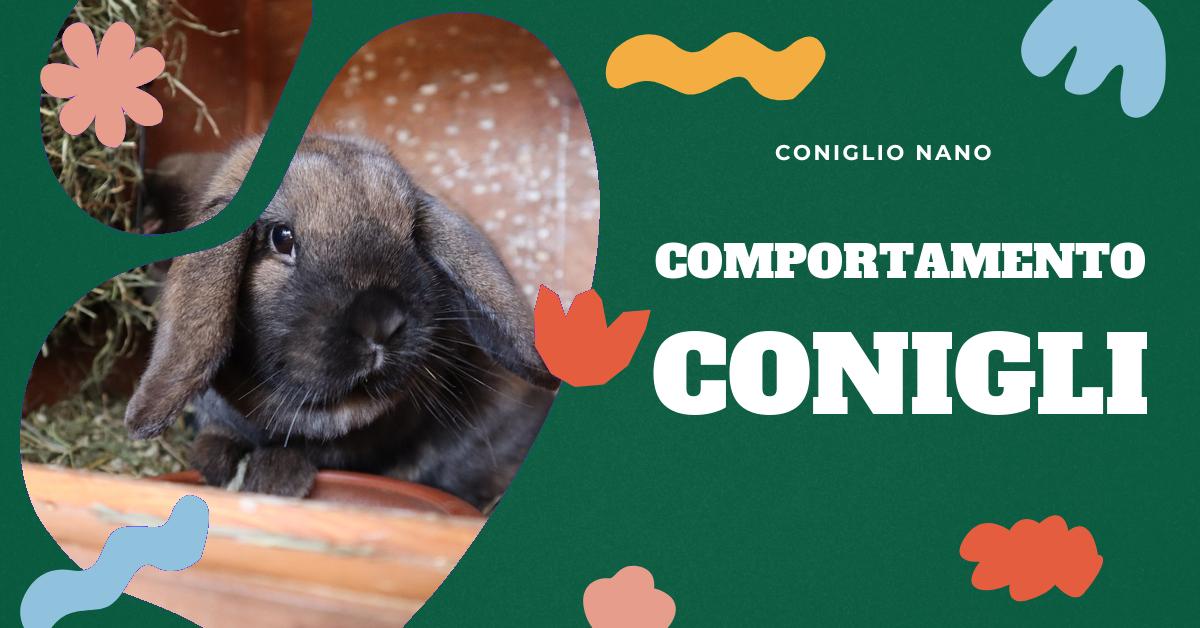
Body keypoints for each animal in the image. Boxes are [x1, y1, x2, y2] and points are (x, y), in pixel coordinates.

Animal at [125, 134, 559, 510]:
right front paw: (215, 463)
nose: (381, 321)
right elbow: (218, 434)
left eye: (413, 236)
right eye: (282, 238)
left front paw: (274, 477)